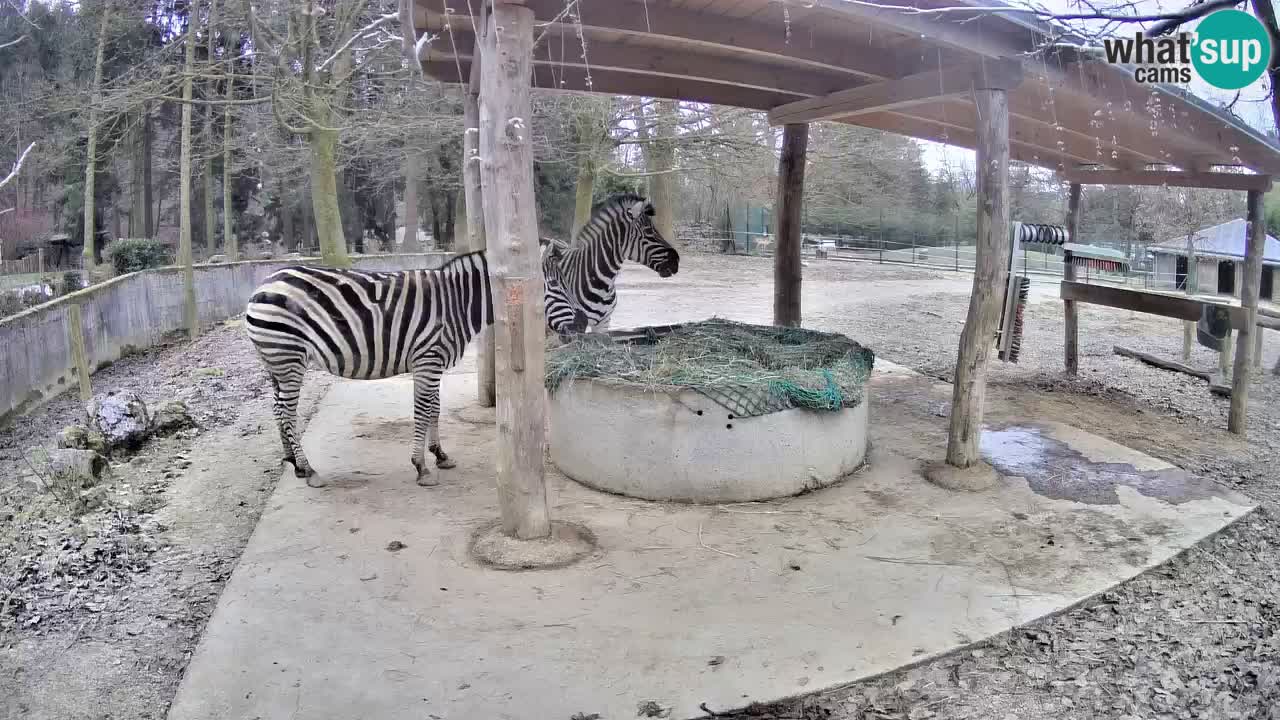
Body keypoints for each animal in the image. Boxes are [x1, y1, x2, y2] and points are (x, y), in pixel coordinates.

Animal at [241, 249, 586, 484]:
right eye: (554, 285)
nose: (582, 325)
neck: (457, 304)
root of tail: (263, 285)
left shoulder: (434, 362)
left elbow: (434, 407)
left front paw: (440, 455)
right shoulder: (427, 360)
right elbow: (422, 409)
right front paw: (421, 466)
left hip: (276, 362)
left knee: (277, 408)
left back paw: (293, 462)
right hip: (288, 357)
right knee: (287, 412)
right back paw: (308, 468)